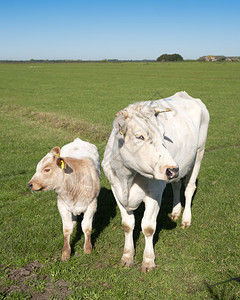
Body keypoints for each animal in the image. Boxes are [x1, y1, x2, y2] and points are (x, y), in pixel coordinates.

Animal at [102, 91, 209, 272]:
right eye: (139, 136)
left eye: (163, 135)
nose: (173, 170)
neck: (127, 178)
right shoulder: (116, 191)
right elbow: (127, 225)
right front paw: (127, 256)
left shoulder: (155, 194)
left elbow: (148, 227)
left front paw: (148, 260)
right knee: (176, 185)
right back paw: (176, 211)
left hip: (199, 154)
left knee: (189, 188)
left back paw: (186, 219)